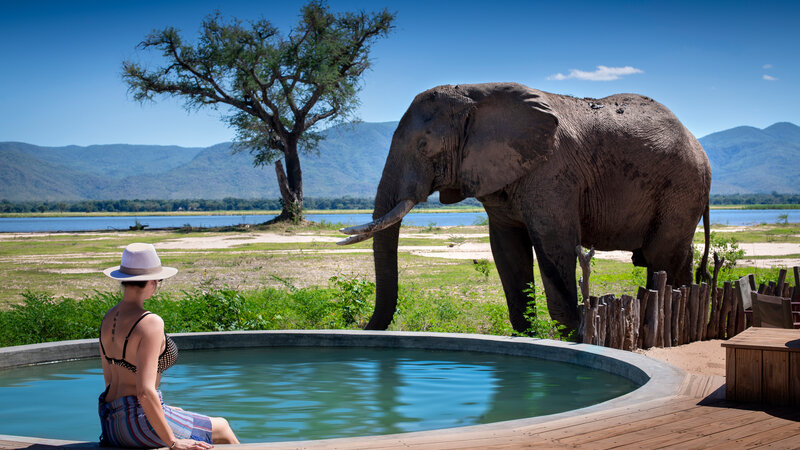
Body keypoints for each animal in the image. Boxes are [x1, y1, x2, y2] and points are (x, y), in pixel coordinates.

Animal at [340, 82, 708, 334]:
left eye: (423, 144)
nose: (365, 330)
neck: (476, 94)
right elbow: (507, 251)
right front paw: (529, 336)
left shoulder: (552, 172)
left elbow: (554, 245)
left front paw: (574, 338)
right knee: (677, 256)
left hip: (682, 186)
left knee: (660, 257)